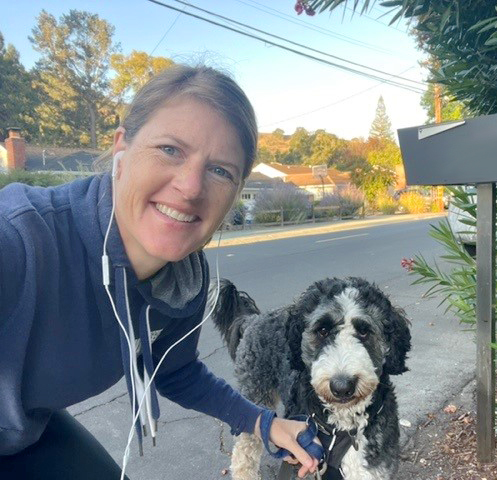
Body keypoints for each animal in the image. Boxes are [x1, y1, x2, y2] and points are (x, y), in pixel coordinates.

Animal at [209, 276, 410, 478]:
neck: (342, 427)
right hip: (254, 394)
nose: (342, 387)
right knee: (244, 451)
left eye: (364, 331)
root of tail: (254, 319)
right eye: (322, 330)